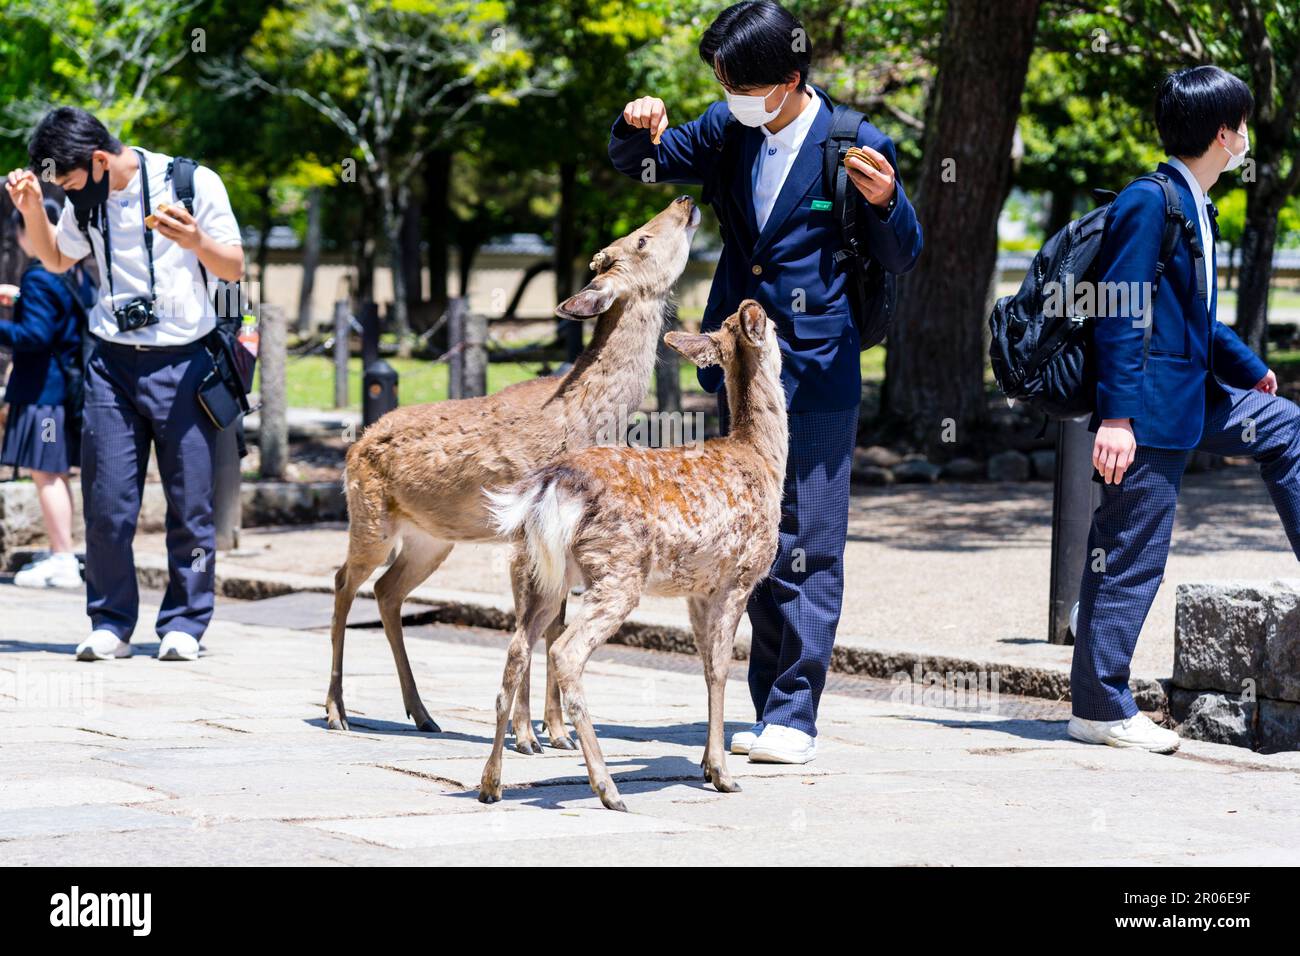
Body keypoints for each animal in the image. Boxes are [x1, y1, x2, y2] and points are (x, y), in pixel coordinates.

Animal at [330, 196, 707, 749]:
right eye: (640, 239)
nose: (685, 200)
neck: (581, 419)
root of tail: (354, 444)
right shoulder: (522, 538)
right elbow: (529, 622)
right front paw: (527, 733)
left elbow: (554, 625)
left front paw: (556, 732)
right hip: (369, 518)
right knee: (343, 582)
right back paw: (336, 710)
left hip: (430, 539)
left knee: (387, 590)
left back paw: (422, 714)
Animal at [483, 303, 785, 811]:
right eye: (778, 330)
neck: (762, 459)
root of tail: (552, 485)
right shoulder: (739, 576)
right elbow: (723, 668)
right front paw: (724, 774)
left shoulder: (697, 590)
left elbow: (707, 668)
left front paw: (708, 765)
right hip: (617, 569)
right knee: (565, 651)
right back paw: (607, 788)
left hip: (546, 573)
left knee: (517, 648)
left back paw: (491, 783)